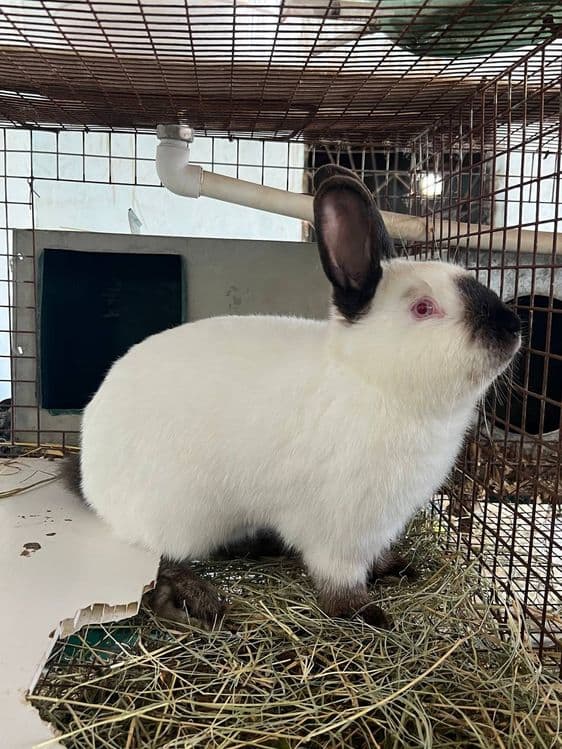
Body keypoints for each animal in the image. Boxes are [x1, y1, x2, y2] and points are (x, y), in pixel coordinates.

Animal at [71, 164, 521, 628]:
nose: (512, 325)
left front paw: (397, 567)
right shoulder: (339, 531)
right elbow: (339, 579)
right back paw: (195, 596)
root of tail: (90, 477)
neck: (372, 380)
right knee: (159, 555)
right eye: (423, 308)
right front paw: (366, 613)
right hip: (178, 515)